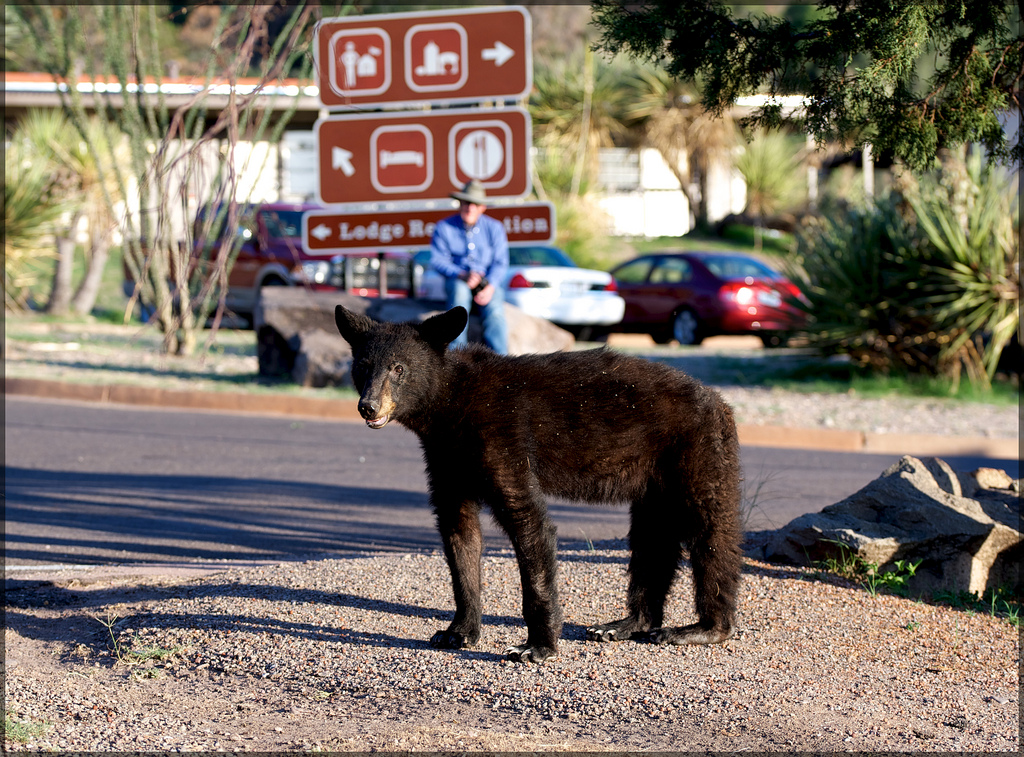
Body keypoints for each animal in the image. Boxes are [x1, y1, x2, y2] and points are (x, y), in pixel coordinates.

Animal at [335, 304, 743, 663]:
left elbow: (527, 521)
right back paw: (626, 623)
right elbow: (459, 533)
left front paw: (536, 646)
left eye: (399, 368)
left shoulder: (502, 437)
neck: (451, 406)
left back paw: (704, 628)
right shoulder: (448, 459)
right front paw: (458, 631)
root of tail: (720, 401)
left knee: (711, 531)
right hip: (655, 479)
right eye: (363, 366)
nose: (368, 406)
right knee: (651, 538)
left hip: (698, 450)